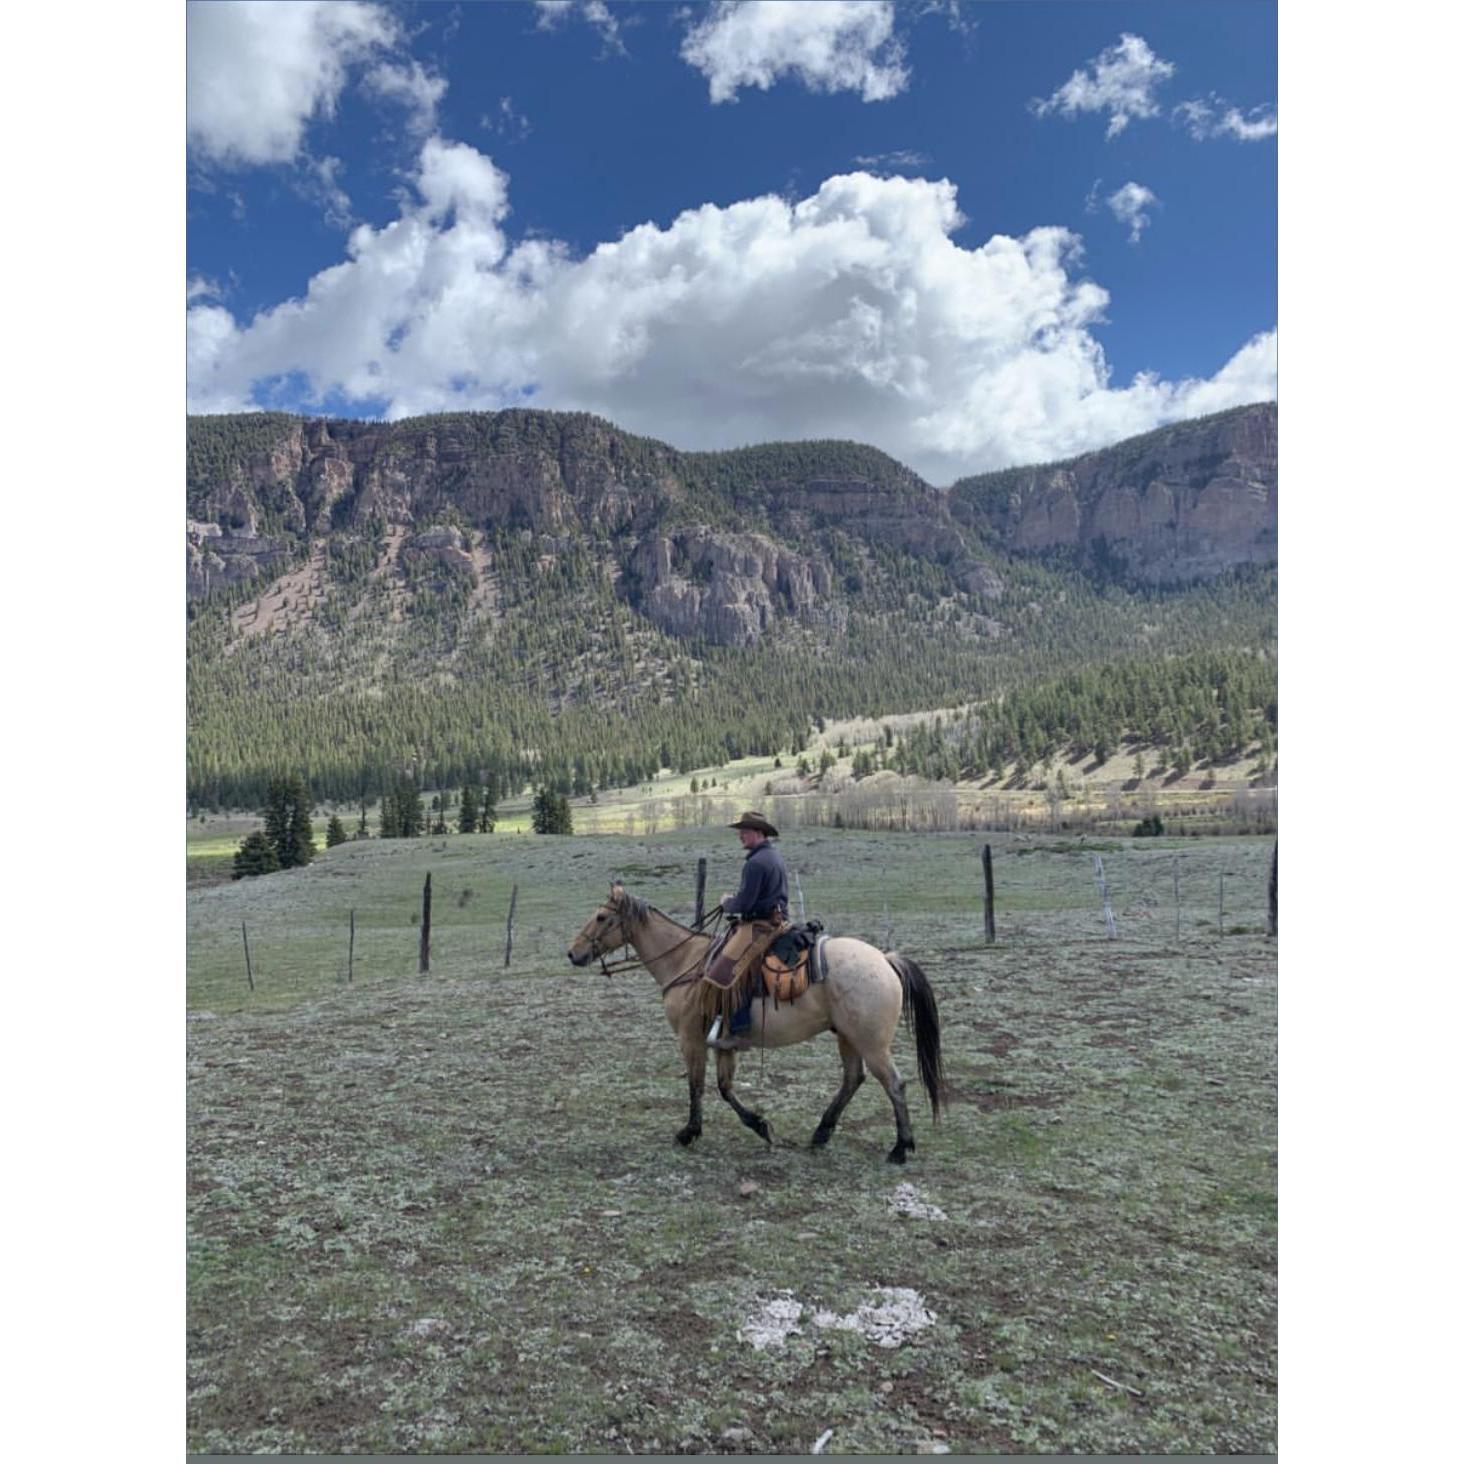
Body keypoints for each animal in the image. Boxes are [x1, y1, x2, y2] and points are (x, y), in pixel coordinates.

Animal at [565, 878, 942, 1165]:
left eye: (601, 916)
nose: (572, 953)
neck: (685, 961)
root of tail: (885, 959)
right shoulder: (724, 1044)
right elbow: (725, 1088)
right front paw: (760, 1125)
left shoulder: (691, 1039)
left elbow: (697, 1086)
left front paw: (689, 1132)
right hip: (847, 1036)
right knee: (853, 1079)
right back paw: (821, 1134)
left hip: (872, 1043)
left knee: (894, 1084)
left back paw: (900, 1148)